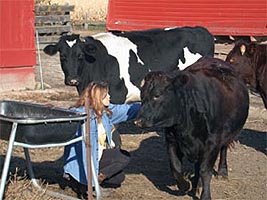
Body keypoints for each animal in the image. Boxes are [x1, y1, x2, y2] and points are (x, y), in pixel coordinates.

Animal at [135, 56, 250, 200]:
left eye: (157, 95)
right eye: (142, 96)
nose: (138, 121)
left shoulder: (212, 143)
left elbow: (205, 170)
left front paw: (205, 195)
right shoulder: (172, 140)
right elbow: (175, 167)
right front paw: (185, 185)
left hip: (228, 135)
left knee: (223, 149)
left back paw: (222, 172)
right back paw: (196, 182)